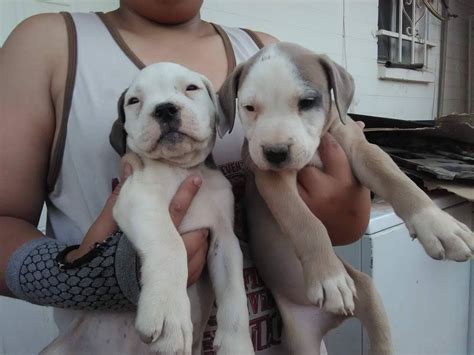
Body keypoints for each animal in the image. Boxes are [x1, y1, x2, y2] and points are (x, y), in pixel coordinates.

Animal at [219, 43, 474, 355]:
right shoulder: (272, 179)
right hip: (302, 341)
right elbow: (306, 222)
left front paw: (439, 225)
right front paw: (330, 278)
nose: (275, 152)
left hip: (370, 296)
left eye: (307, 102)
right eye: (250, 108)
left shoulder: (361, 149)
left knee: (381, 337)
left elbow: (397, 180)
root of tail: (331, 320)